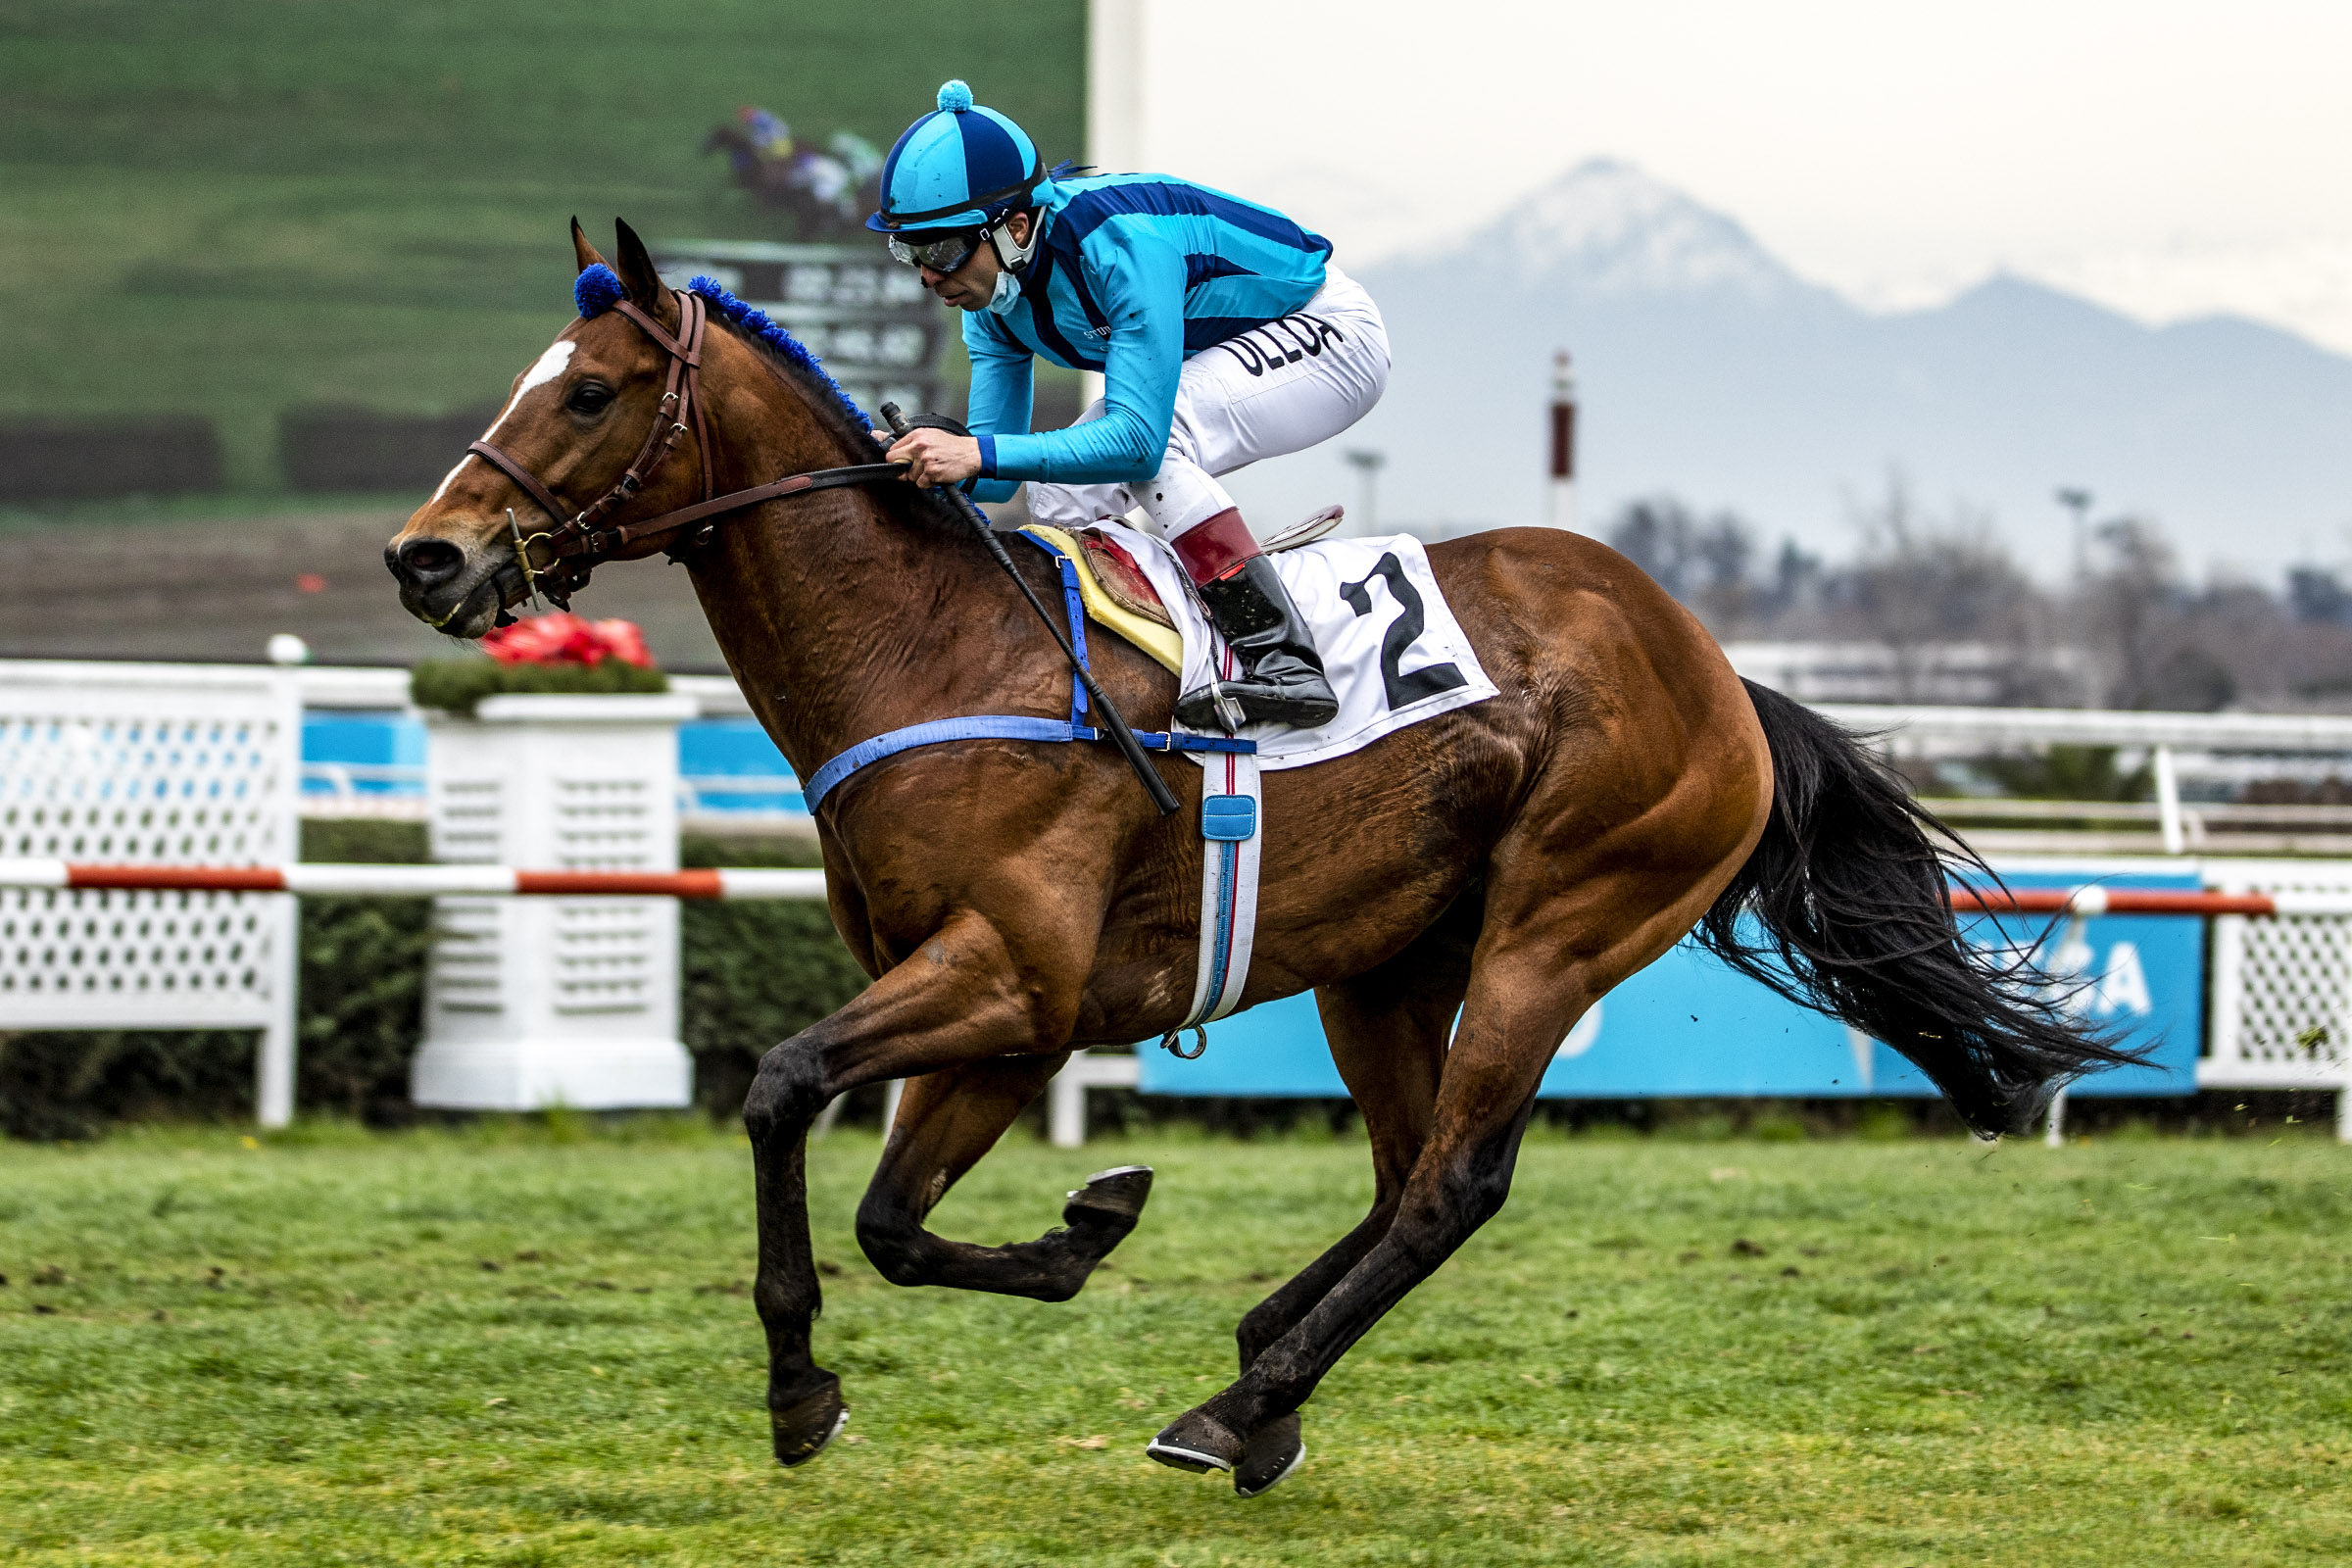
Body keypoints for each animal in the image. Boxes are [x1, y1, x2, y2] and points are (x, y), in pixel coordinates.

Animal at [386, 219, 2129, 1495]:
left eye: (590, 393)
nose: (426, 556)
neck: (932, 655)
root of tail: (1714, 669)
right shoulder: (1011, 1019)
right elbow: (889, 1214)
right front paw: (1073, 1234)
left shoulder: (1011, 978)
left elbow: (777, 1085)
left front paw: (810, 1382)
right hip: (1388, 960)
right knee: (1408, 1168)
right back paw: (1259, 1367)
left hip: (1561, 925)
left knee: (1457, 1183)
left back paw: (1244, 1403)